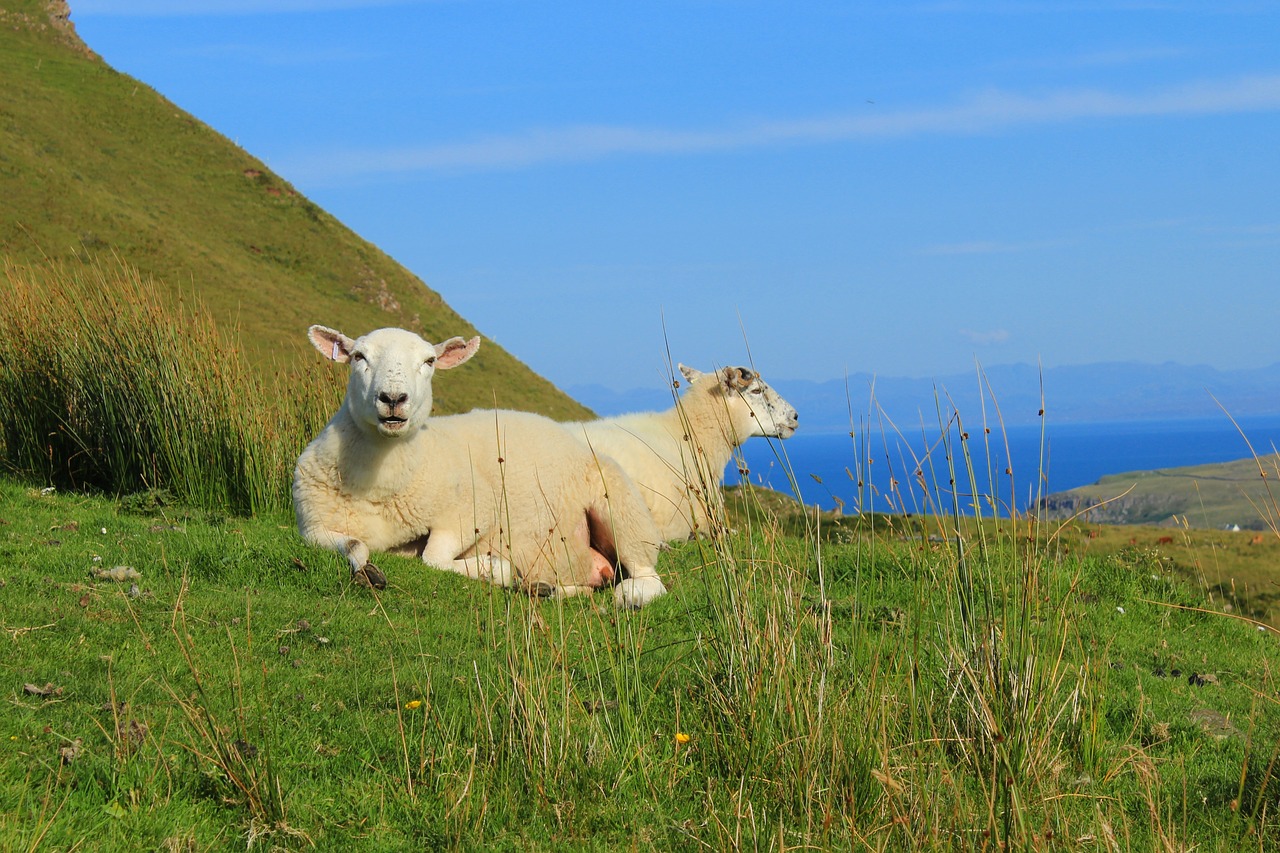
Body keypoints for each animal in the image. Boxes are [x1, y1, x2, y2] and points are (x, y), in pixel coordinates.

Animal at [291, 322, 670, 607]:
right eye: (358, 356)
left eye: (429, 361)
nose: (394, 398)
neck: (382, 486)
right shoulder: (313, 527)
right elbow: (355, 546)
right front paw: (367, 570)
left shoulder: (473, 509)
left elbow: (433, 557)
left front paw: (496, 568)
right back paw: (544, 589)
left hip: (622, 509)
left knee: (648, 575)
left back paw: (630, 595)